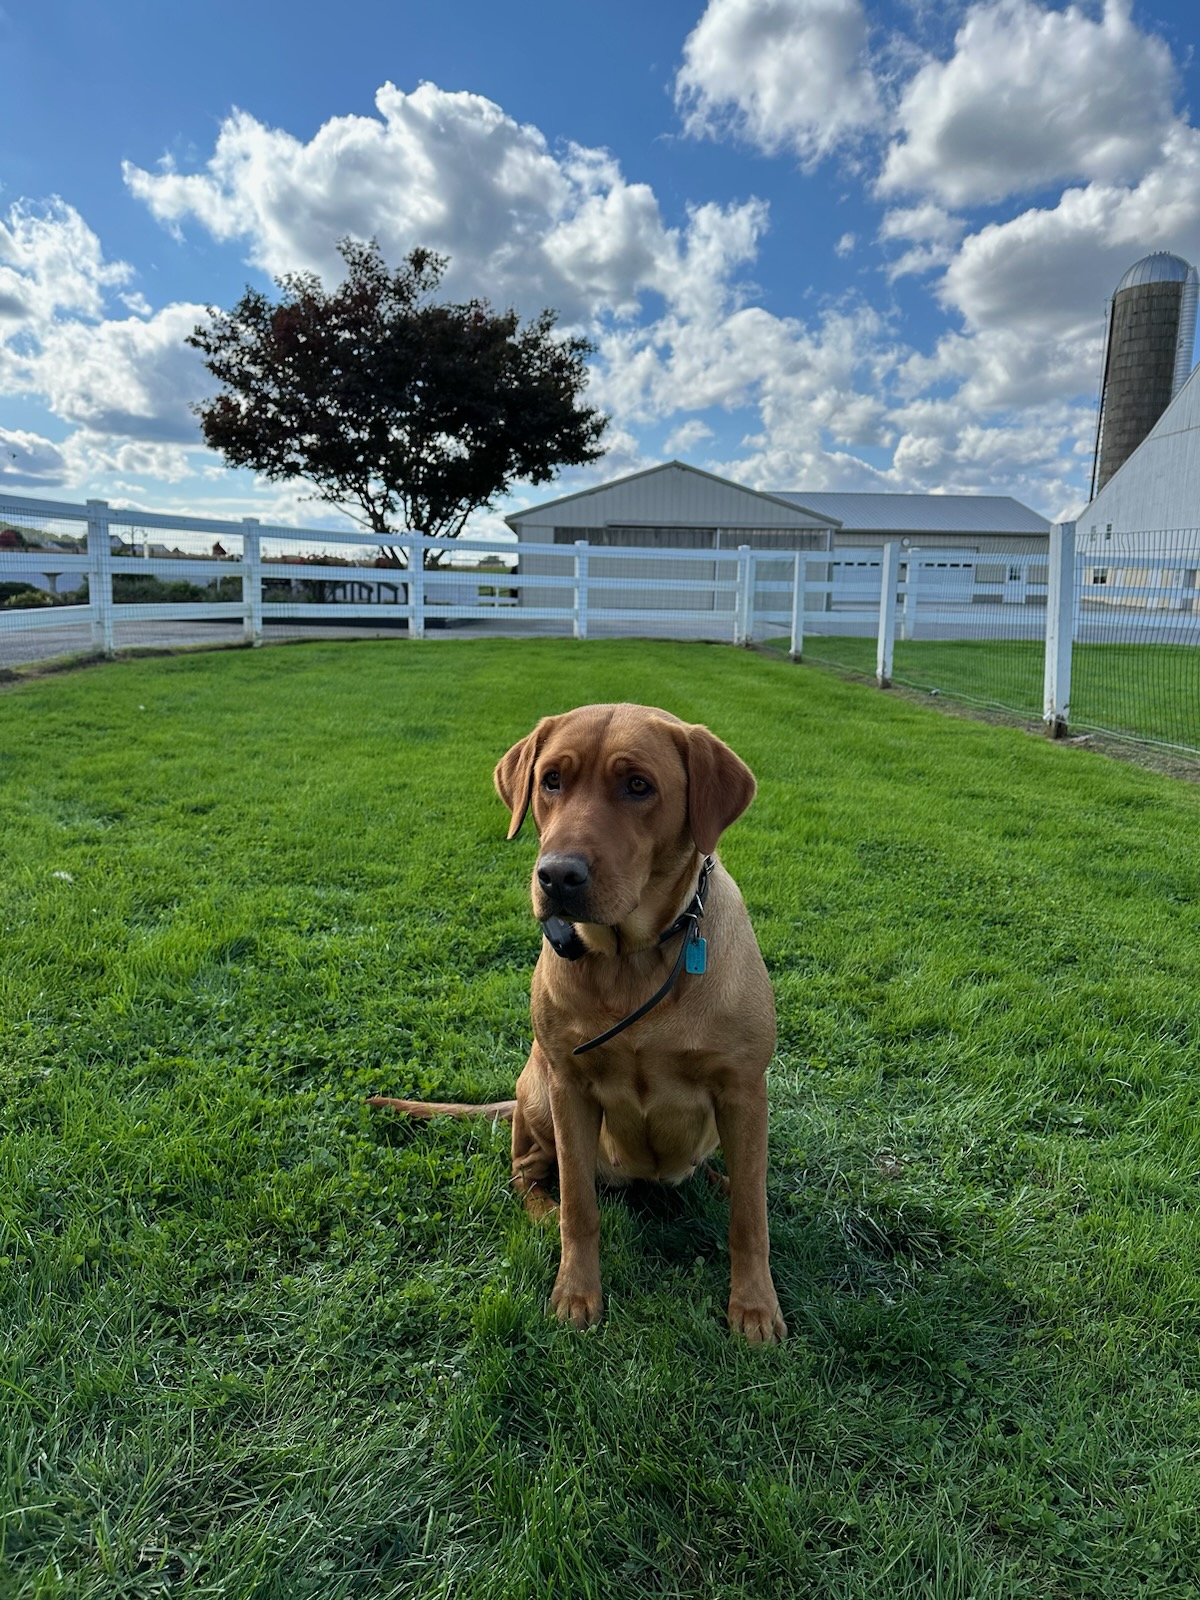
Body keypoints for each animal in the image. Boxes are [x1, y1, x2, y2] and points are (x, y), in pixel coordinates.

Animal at [369, 703, 786, 1344]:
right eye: (551, 781)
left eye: (638, 785)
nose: (557, 876)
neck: (630, 961)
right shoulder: (570, 1085)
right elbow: (579, 1208)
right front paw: (576, 1294)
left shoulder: (743, 1089)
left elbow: (750, 1215)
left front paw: (755, 1306)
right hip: (538, 1090)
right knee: (527, 1172)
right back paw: (542, 1208)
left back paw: (714, 1179)